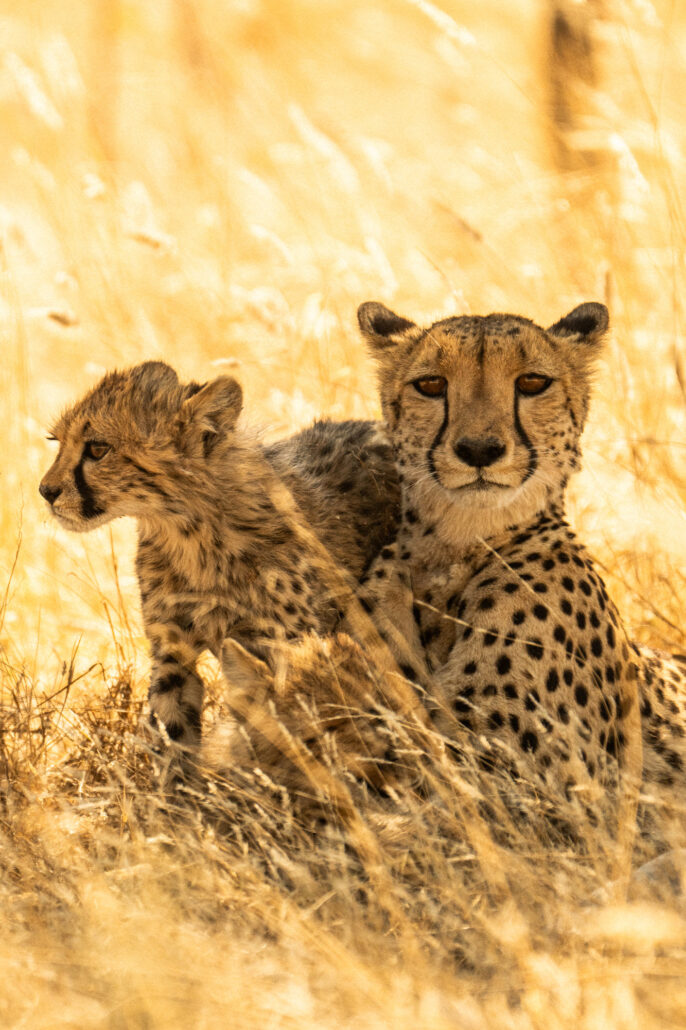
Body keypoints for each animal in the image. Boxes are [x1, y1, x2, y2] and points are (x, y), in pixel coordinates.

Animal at [39, 361, 426, 783]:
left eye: (97, 448)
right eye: (56, 441)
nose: (46, 491)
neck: (189, 533)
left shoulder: (289, 641)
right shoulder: (172, 650)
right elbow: (172, 728)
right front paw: (175, 796)